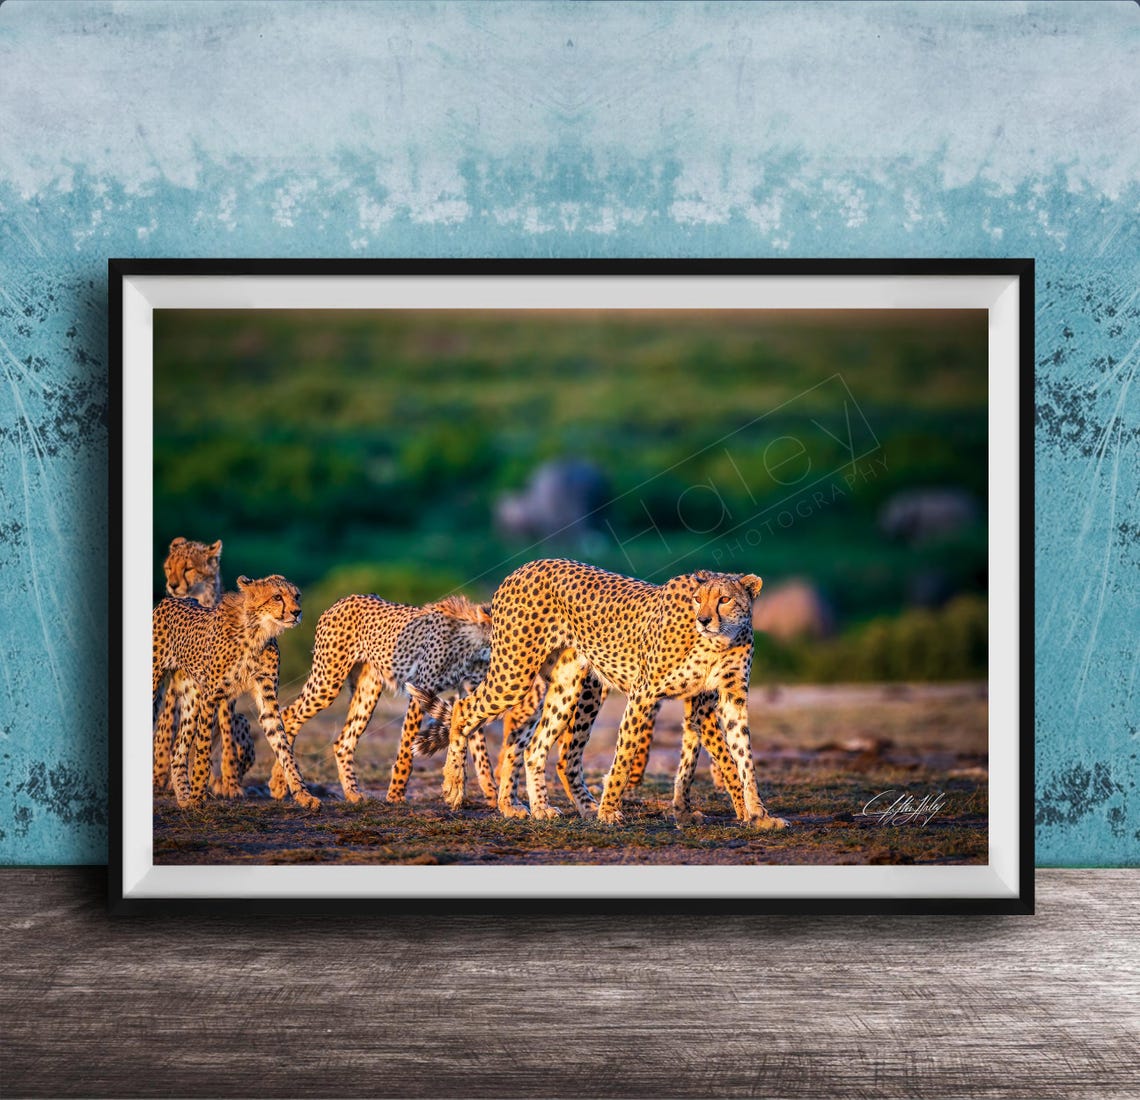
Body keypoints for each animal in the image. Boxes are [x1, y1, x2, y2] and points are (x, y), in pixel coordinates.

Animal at [152, 537, 255, 798]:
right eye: (169, 567)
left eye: (189, 568)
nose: (172, 585)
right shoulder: (177, 683)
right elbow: (167, 728)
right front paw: (160, 776)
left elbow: (225, 733)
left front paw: (231, 783)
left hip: (243, 721)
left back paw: (215, 782)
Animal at [152, 573, 319, 810]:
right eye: (277, 597)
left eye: (296, 596)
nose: (297, 612)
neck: (257, 632)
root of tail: (171, 600)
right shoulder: (210, 697)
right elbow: (203, 750)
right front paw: (197, 797)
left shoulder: (267, 700)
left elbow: (284, 747)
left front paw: (303, 794)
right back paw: (187, 795)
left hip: (192, 696)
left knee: (178, 750)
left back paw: (183, 796)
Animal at [270, 593, 540, 806]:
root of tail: (343, 599)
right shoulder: (421, 687)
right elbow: (407, 746)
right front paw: (396, 794)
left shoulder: (465, 692)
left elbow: (479, 750)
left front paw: (492, 794)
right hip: (327, 681)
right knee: (288, 715)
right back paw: (281, 784)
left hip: (368, 691)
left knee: (343, 741)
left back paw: (353, 794)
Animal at [408, 558, 788, 829]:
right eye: (698, 600)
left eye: (724, 599)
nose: (705, 619)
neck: (720, 640)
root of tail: (523, 567)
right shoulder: (645, 693)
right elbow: (626, 754)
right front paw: (608, 812)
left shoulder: (722, 701)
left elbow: (740, 756)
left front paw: (757, 813)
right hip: (515, 675)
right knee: (465, 710)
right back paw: (454, 787)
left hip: (567, 686)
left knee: (534, 746)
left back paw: (535, 808)